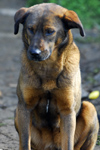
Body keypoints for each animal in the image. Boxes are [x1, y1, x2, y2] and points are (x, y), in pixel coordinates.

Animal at [13, 2, 98, 150]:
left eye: (50, 31)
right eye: (30, 29)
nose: (34, 53)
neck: (47, 67)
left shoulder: (67, 111)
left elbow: (68, 143)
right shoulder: (24, 107)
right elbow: (24, 142)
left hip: (90, 108)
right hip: (17, 113)